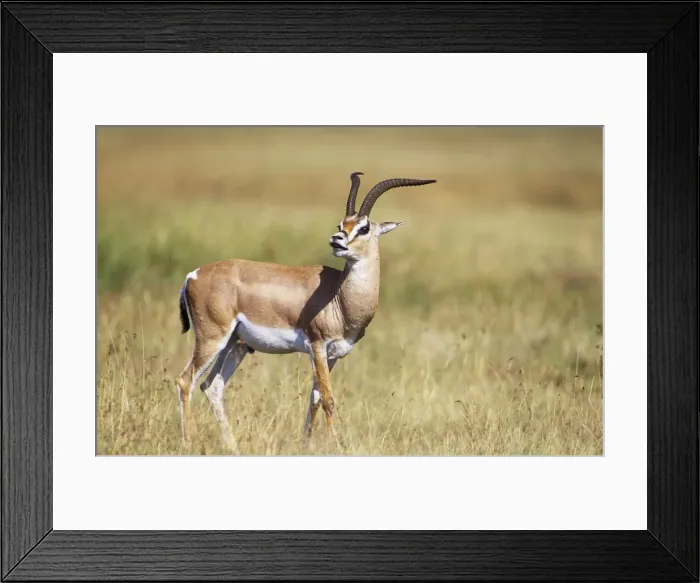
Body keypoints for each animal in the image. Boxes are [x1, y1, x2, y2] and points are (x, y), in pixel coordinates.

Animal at [175, 173, 437, 451]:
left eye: (364, 227)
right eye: (342, 223)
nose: (337, 240)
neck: (339, 298)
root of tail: (193, 275)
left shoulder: (332, 355)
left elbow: (315, 398)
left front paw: (305, 444)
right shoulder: (318, 346)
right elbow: (328, 399)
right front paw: (334, 446)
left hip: (235, 344)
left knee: (211, 386)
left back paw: (232, 446)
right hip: (212, 339)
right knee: (186, 381)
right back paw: (187, 443)